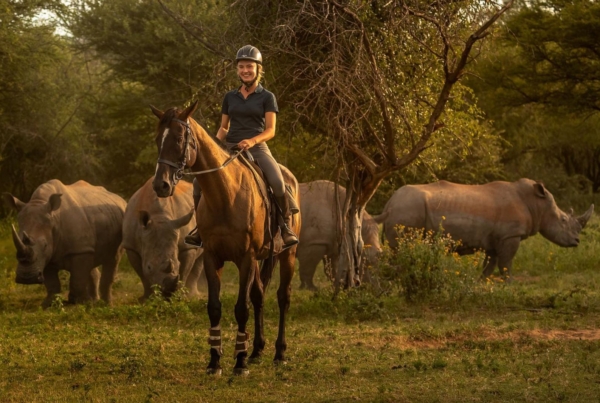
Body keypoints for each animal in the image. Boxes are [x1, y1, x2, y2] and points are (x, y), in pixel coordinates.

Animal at [150, 100, 300, 376]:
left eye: (179, 139)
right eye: (158, 139)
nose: (161, 185)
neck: (225, 196)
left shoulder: (246, 258)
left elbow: (241, 309)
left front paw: (239, 363)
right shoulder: (213, 257)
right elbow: (215, 308)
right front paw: (215, 361)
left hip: (287, 254)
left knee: (283, 297)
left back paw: (279, 353)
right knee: (259, 295)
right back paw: (256, 351)